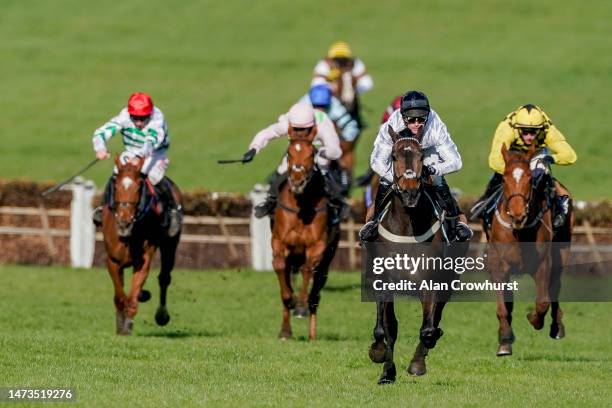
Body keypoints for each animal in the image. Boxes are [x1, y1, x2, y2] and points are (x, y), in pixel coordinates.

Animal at [102, 156, 182, 334]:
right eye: (115, 185)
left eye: (139, 186)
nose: (124, 221)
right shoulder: (113, 260)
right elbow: (120, 296)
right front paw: (121, 325)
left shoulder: (143, 260)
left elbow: (132, 298)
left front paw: (127, 325)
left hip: (170, 244)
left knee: (164, 278)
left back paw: (161, 314)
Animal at [272, 131, 340, 342]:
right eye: (289, 152)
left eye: (312, 153)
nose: (297, 180)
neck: (301, 208)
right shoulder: (279, 243)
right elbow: (281, 272)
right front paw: (290, 302)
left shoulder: (317, 246)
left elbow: (308, 268)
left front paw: (300, 306)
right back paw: (285, 330)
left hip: (326, 262)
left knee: (315, 295)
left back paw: (312, 333)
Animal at [366, 126, 456, 384]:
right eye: (393, 156)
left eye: (421, 157)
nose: (410, 193)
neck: (407, 223)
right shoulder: (383, 279)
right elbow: (386, 329)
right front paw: (382, 363)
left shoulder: (430, 281)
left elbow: (428, 329)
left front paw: (417, 364)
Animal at [482, 145, 572, 356]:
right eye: (504, 178)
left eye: (530, 179)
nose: (518, 215)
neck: (519, 232)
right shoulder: (498, 266)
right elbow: (503, 305)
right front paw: (505, 340)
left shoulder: (543, 263)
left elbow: (543, 302)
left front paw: (534, 319)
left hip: (561, 254)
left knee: (554, 288)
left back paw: (557, 327)